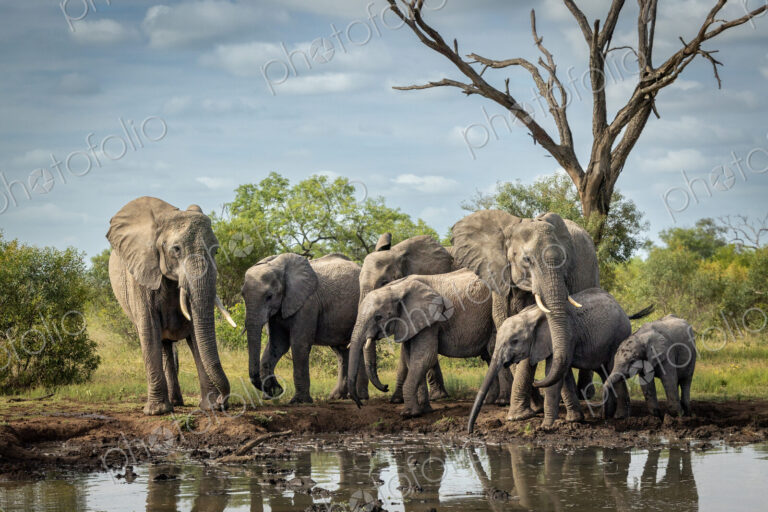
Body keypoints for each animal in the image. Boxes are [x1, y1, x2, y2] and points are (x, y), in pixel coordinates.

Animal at [107, 197, 235, 415]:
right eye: (176, 249)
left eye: (216, 250)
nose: (222, 402)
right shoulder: (140, 273)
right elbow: (149, 330)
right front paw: (156, 412)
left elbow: (196, 334)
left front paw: (209, 407)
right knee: (159, 342)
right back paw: (169, 405)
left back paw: (176, 402)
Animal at [243, 252, 367, 403]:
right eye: (242, 295)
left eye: (269, 296)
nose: (279, 388)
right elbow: (277, 345)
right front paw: (270, 395)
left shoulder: (308, 303)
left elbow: (299, 344)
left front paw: (299, 401)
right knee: (341, 350)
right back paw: (337, 397)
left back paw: (360, 397)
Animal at [348, 269, 496, 417]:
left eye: (378, 317)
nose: (386, 387)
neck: (397, 288)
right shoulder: (410, 322)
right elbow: (411, 359)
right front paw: (424, 411)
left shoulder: (430, 320)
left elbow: (425, 357)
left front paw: (409, 414)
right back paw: (490, 401)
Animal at [452, 210, 600, 420]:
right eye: (527, 260)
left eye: (565, 261)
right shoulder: (498, 276)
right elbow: (506, 328)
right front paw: (531, 409)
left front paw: (521, 415)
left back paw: (582, 394)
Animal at [468, 288, 653, 430]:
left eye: (514, 341)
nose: (471, 431)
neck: (532, 314)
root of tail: (623, 311)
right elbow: (562, 374)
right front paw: (574, 420)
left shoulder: (566, 336)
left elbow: (553, 372)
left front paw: (545, 428)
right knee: (604, 372)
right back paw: (607, 415)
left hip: (618, 337)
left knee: (612, 368)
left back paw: (620, 417)